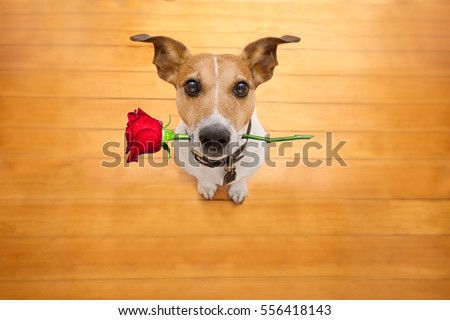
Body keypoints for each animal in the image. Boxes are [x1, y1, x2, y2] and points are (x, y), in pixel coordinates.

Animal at [130, 33, 298, 204]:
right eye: (191, 85)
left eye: (241, 87)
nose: (214, 137)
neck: (221, 163)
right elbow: (203, 178)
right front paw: (206, 187)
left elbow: (241, 179)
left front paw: (238, 189)